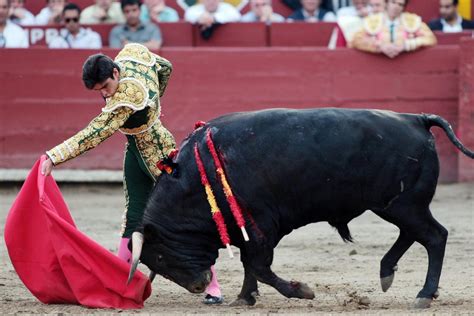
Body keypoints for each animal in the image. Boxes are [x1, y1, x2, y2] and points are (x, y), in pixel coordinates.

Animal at [129, 108, 474, 308]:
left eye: (160, 256)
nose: (198, 286)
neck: (195, 182)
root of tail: (417, 119)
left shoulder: (261, 225)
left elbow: (258, 265)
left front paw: (302, 291)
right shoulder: (249, 229)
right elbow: (250, 264)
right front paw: (245, 298)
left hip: (404, 204)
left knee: (435, 236)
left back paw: (424, 294)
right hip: (397, 205)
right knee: (413, 234)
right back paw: (386, 273)